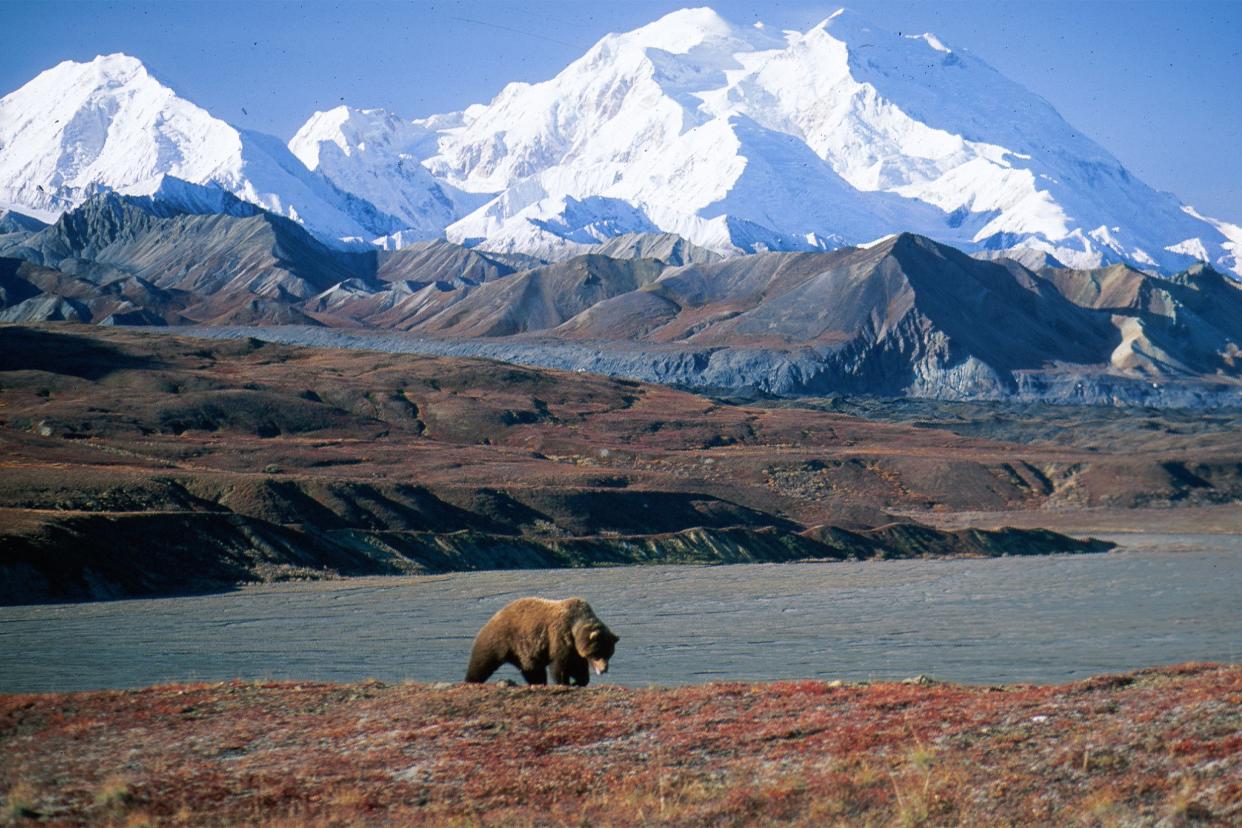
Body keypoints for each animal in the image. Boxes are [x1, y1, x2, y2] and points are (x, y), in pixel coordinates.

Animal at [464, 595, 618, 685]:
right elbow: (560, 666)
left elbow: (578, 667)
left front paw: (580, 681)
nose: (604, 669)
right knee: (482, 662)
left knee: (532, 670)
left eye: (609, 654)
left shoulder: (575, 650)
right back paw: (471, 680)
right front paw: (565, 682)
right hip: (500, 639)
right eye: (597, 653)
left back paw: (538, 683)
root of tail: (494, 616)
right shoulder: (560, 638)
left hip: (524, 653)